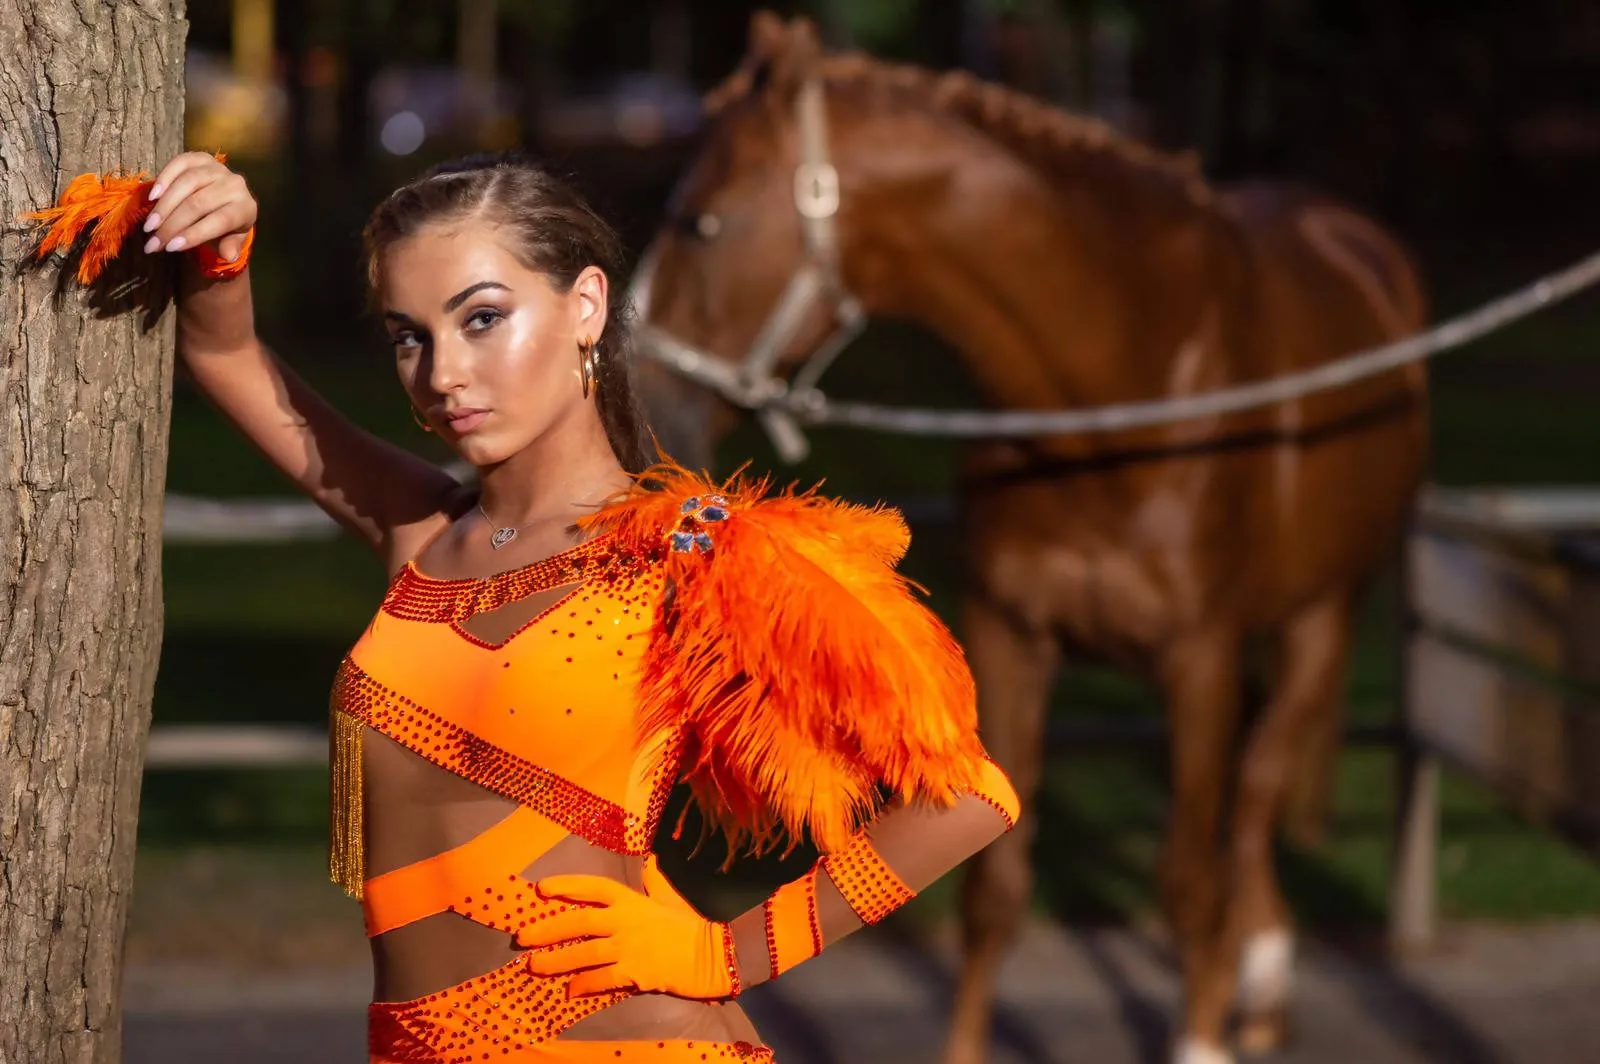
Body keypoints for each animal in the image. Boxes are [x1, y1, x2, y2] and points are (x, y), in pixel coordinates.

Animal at [630, 14, 1433, 1062]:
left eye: (703, 222)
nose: (633, 386)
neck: (1123, 384)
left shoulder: (1198, 659)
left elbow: (1186, 878)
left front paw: (1200, 1032)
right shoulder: (1010, 636)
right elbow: (994, 888)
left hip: (1320, 617)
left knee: (1256, 796)